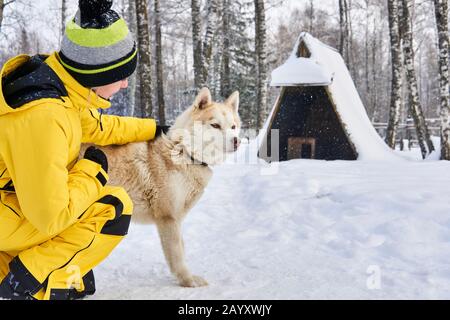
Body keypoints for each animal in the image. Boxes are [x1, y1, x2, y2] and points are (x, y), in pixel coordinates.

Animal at [83, 88, 241, 288]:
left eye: (233, 126)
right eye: (215, 125)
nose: (236, 141)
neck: (185, 154)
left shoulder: (177, 219)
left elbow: (182, 248)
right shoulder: (168, 218)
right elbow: (177, 255)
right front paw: (187, 280)